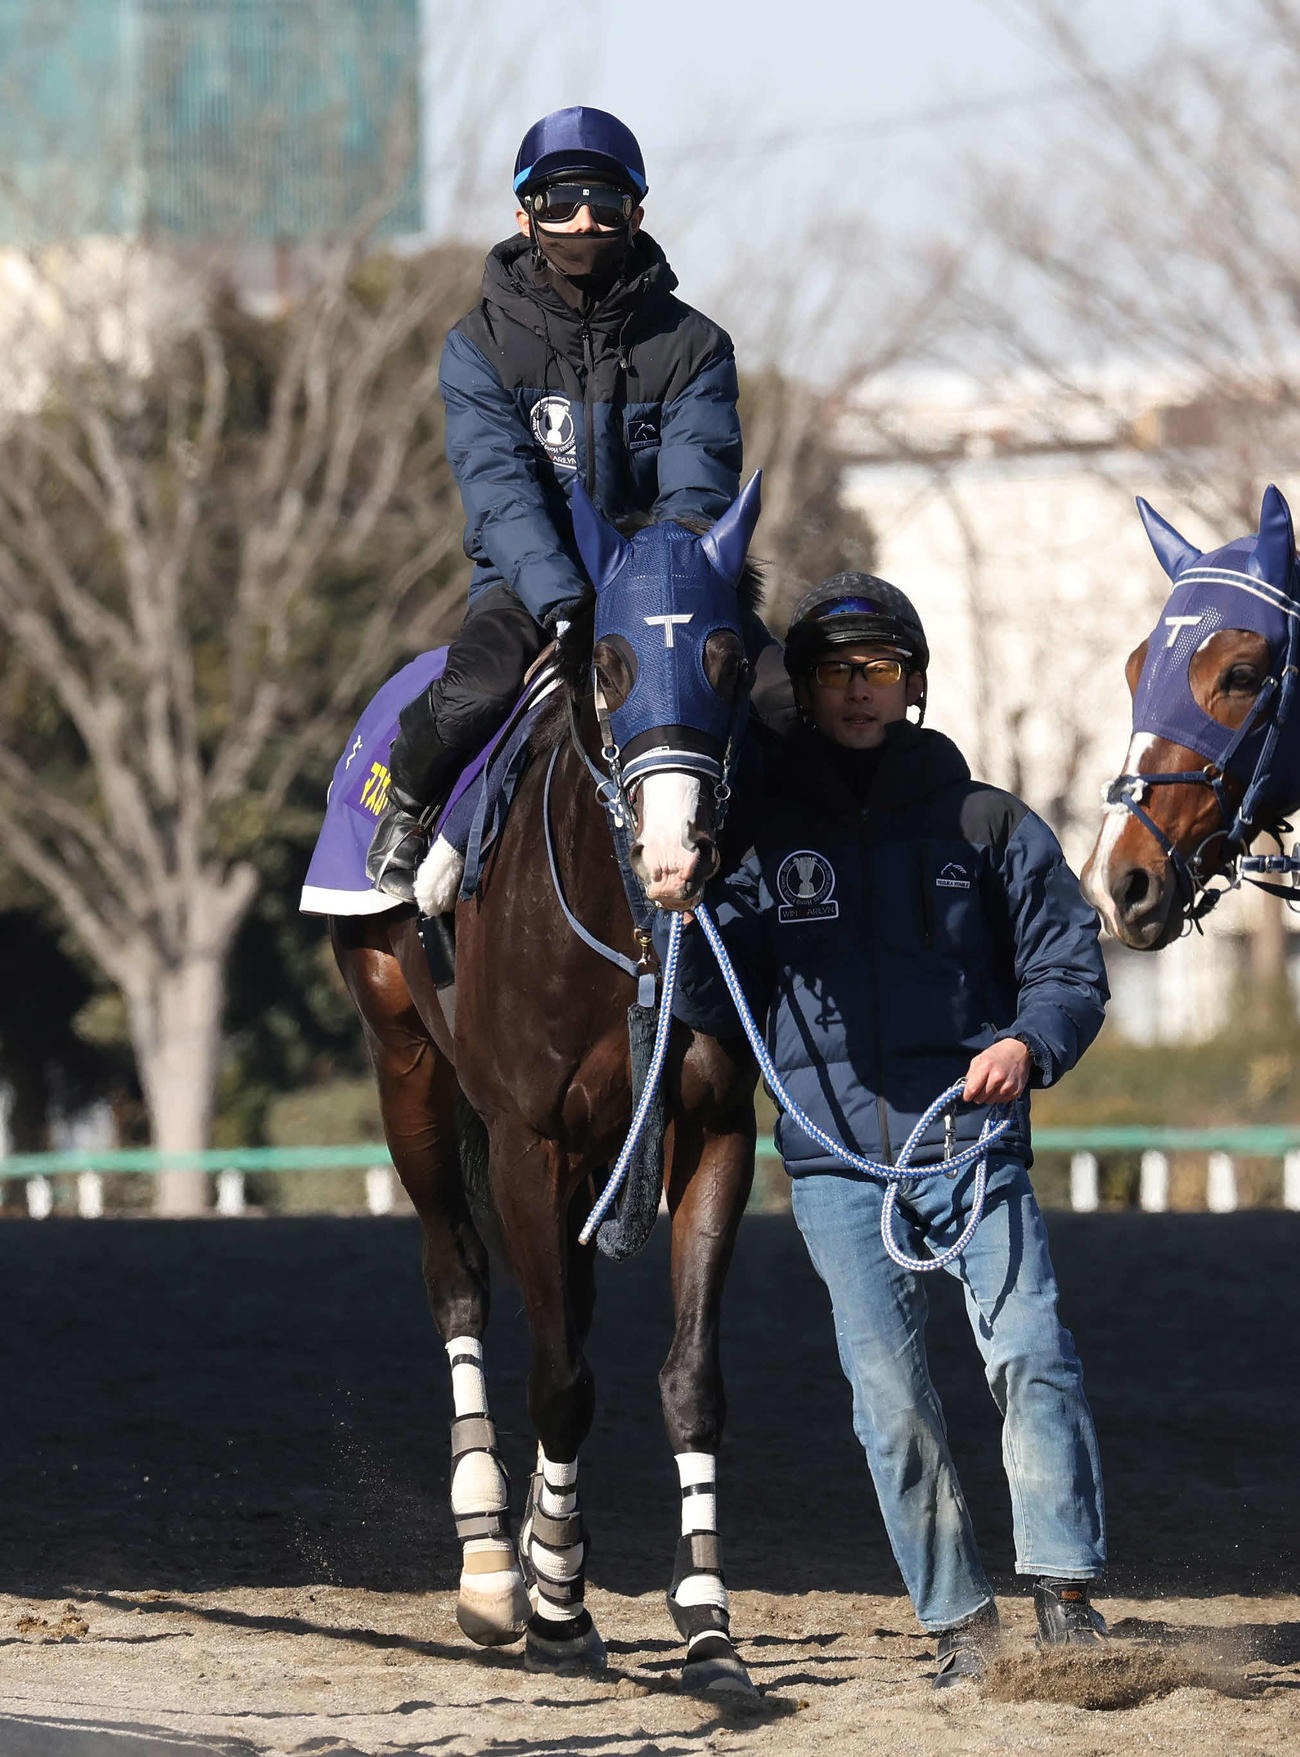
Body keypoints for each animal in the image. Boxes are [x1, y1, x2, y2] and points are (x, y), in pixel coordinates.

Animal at [328, 477, 764, 1694]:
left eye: (726, 655)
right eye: (609, 658)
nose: (677, 855)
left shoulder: (711, 1126)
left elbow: (690, 1372)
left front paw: (705, 1618)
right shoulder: (527, 1137)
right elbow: (563, 1376)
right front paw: (555, 1602)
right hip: (407, 1064)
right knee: (460, 1278)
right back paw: (490, 1558)